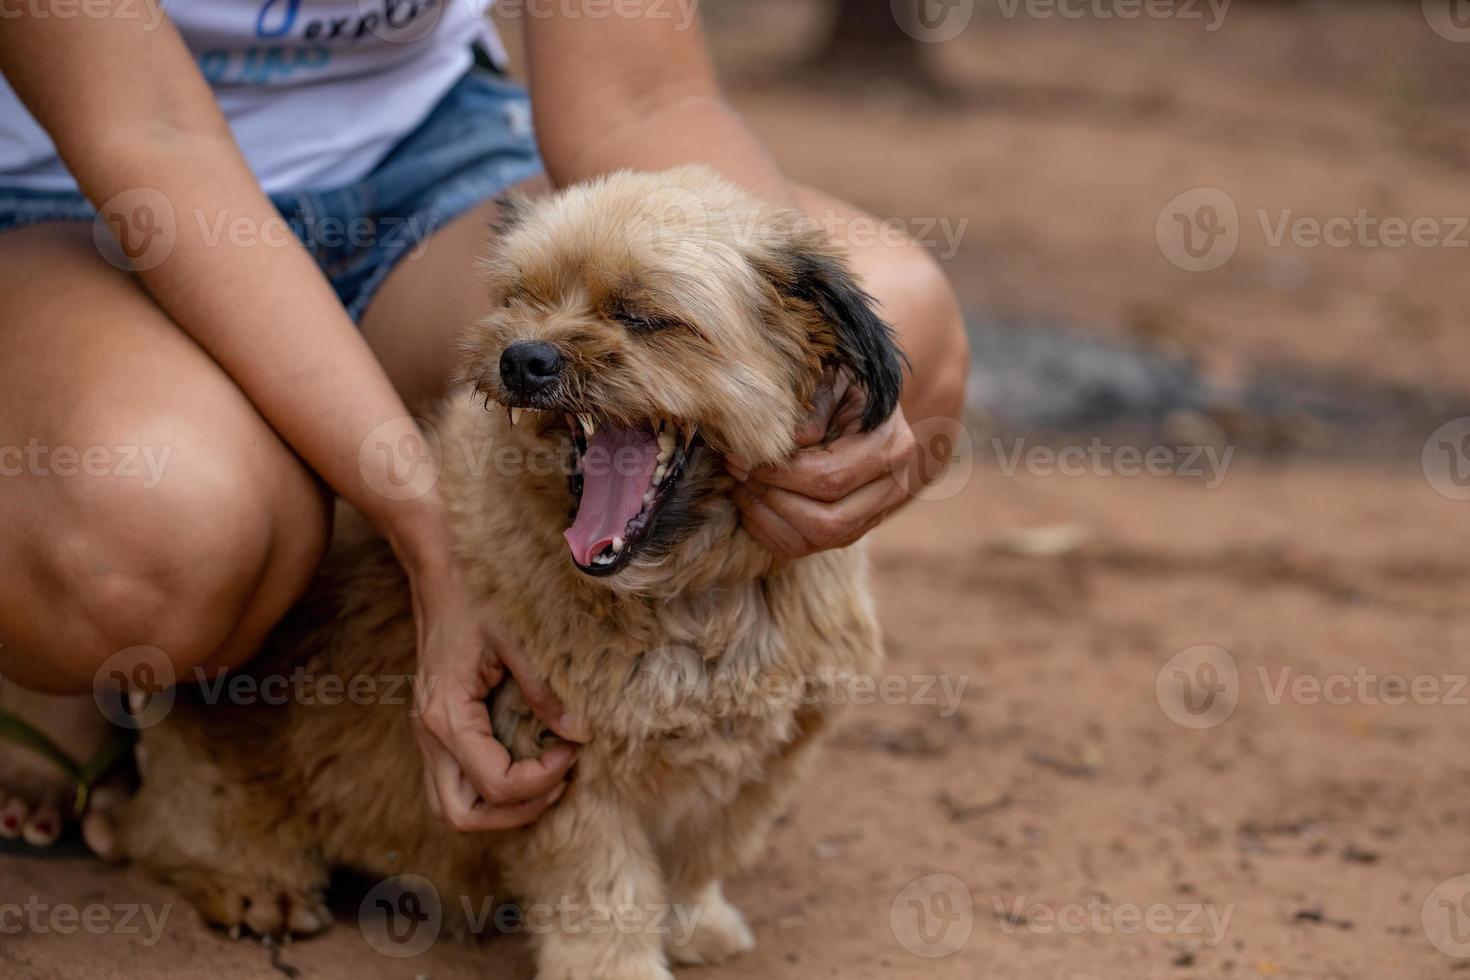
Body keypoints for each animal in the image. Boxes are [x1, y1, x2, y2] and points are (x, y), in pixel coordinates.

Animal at [114, 168, 899, 980]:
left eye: (644, 315)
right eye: (522, 297)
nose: (523, 358)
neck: (689, 594)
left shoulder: (761, 763)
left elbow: (697, 859)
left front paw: (696, 924)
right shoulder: (562, 774)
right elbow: (604, 897)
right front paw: (619, 971)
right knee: (160, 837)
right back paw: (249, 885)